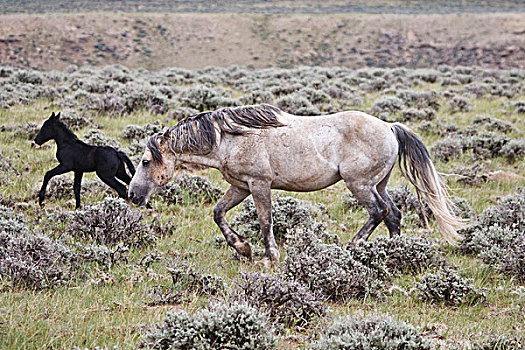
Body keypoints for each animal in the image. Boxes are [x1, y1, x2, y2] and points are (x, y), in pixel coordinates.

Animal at [129, 104, 464, 268]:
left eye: (145, 161)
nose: (132, 195)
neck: (229, 138)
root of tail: (390, 128)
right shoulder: (240, 187)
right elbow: (218, 213)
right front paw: (243, 247)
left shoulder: (259, 184)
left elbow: (265, 221)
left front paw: (269, 256)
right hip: (378, 184)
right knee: (393, 214)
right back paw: (396, 252)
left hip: (359, 185)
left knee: (378, 212)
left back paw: (353, 247)